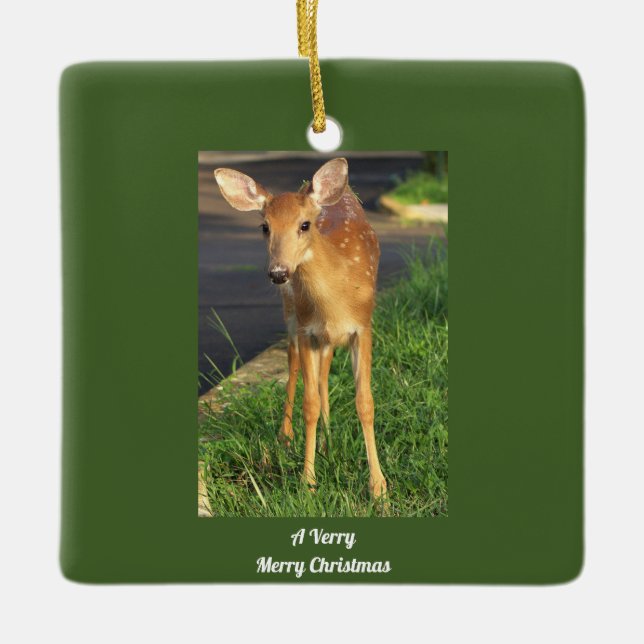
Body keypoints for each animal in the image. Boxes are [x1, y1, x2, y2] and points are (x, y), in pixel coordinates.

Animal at [214, 158, 387, 500]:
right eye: (264, 226)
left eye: (305, 225)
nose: (279, 272)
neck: (336, 299)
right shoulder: (308, 330)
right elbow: (310, 404)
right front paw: (308, 482)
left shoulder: (362, 327)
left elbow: (365, 403)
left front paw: (379, 489)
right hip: (292, 314)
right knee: (293, 362)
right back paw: (287, 436)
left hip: (326, 337)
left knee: (323, 375)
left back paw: (328, 440)